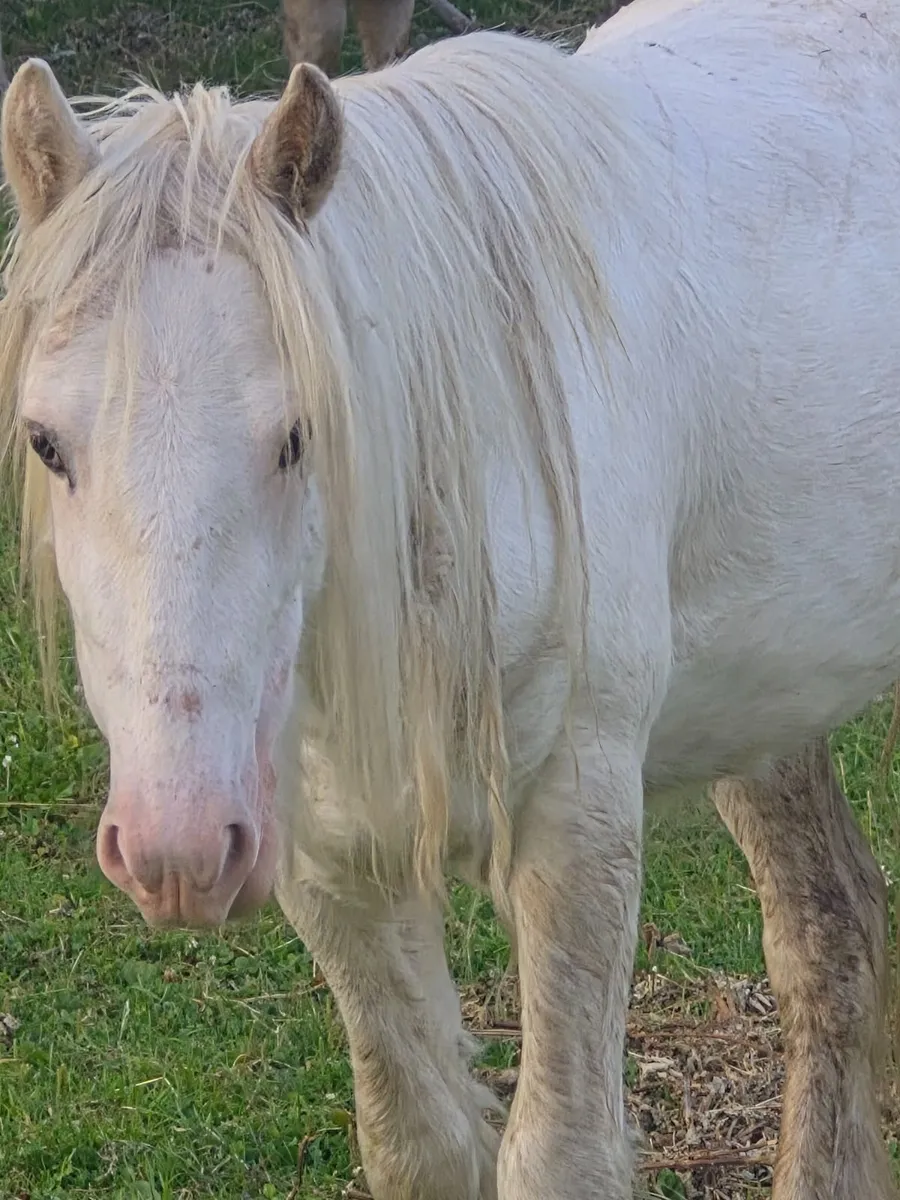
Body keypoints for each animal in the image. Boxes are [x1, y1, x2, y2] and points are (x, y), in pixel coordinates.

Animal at [2, 0, 899, 1195]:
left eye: (299, 437)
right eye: (46, 443)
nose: (175, 851)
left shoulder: (577, 832)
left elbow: (556, 1157)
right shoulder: (327, 853)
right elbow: (418, 1142)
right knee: (829, 929)